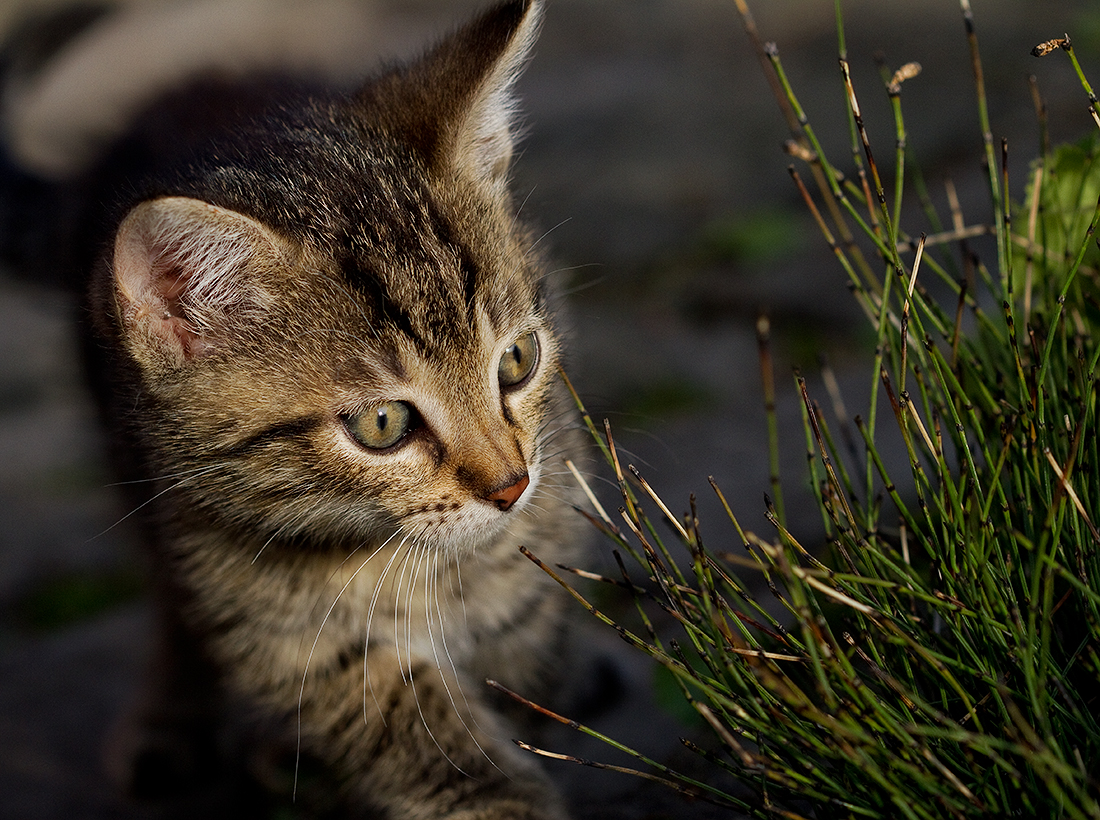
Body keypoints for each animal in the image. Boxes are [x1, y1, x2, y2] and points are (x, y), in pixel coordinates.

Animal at [4, 0, 589, 814]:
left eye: (517, 361)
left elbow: (520, 653)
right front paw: (490, 794)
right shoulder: (253, 597)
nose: (511, 486)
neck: (385, 554)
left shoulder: (537, 541)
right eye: (382, 425)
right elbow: (390, 709)